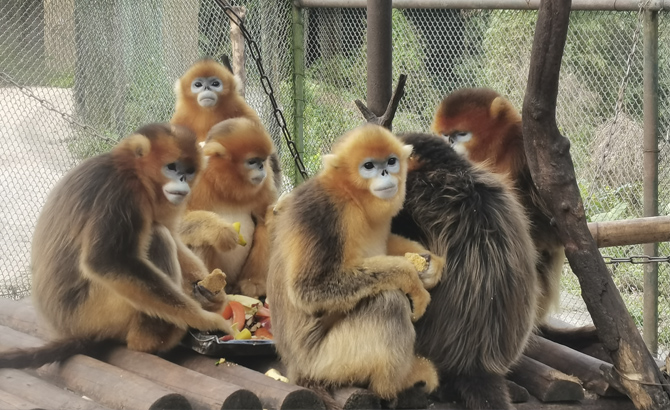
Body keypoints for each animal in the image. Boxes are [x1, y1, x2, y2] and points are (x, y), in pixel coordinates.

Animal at [0, 122, 234, 368]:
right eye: (171, 167)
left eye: (188, 171)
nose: (182, 180)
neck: (134, 171)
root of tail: (65, 329)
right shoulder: (121, 191)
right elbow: (107, 261)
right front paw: (206, 319)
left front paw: (212, 296)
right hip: (94, 315)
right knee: (157, 237)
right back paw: (149, 340)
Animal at [180, 117, 280, 298]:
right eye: (252, 161)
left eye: (262, 161)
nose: (261, 168)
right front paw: (220, 231)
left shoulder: (265, 181)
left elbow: (265, 218)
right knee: (202, 239)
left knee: (264, 228)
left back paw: (253, 283)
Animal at [268, 124, 446, 406]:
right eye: (369, 166)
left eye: (391, 161)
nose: (385, 172)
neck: (351, 196)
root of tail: (296, 369)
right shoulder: (325, 213)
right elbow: (309, 289)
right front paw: (412, 280)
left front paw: (429, 265)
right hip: (327, 362)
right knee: (390, 304)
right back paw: (396, 383)